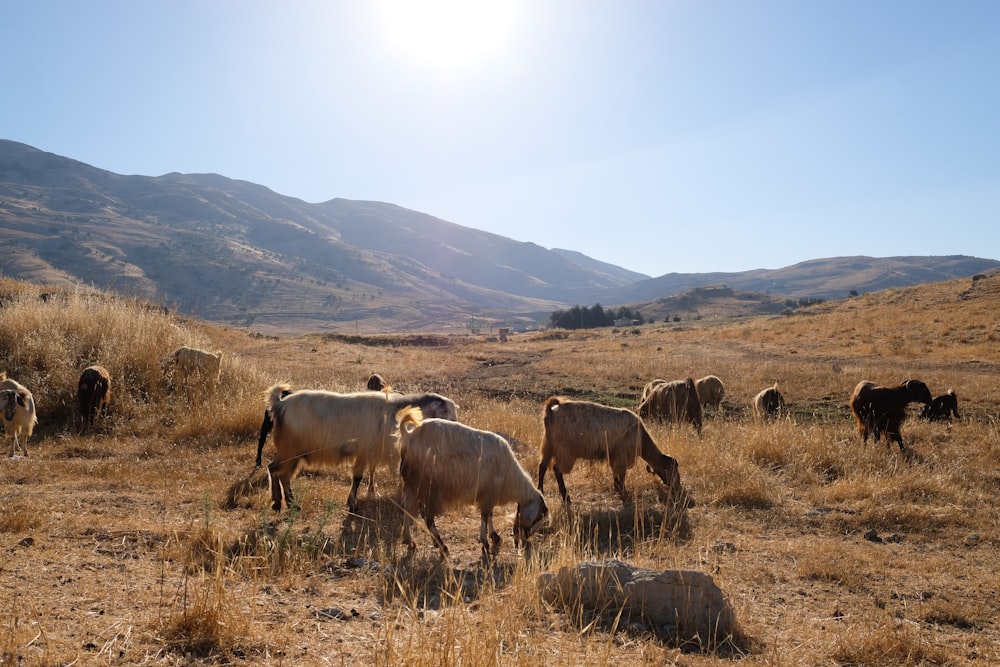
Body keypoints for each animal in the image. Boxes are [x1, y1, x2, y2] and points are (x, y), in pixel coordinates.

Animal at [262, 384, 458, 516]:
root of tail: (280, 404)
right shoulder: (364, 451)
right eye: (445, 411)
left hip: (294, 452)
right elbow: (357, 478)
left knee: (282, 474)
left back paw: (288, 504)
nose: (456, 426)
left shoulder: (368, 454)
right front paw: (353, 504)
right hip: (290, 449)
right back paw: (279, 503)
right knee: (276, 470)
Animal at [394, 408, 548, 560]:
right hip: (429, 487)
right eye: (538, 517)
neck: (511, 477)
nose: (523, 540)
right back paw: (442, 546)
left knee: (407, 509)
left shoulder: (489, 495)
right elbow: (485, 517)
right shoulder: (488, 494)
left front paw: (494, 536)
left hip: (412, 484)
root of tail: (409, 435)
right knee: (427, 517)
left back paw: (410, 541)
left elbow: (489, 515)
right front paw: (485, 544)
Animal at [536, 396, 684, 506]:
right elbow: (622, 474)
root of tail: (551, 410)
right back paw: (566, 497)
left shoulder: (615, 456)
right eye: (673, 469)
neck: (641, 437)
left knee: (542, 467)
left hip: (548, 446)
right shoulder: (622, 456)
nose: (678, 488)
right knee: (557, 469)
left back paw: (540, 491)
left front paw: (617, 487)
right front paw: (623, 491)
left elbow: (616, 473)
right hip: (565, 450)